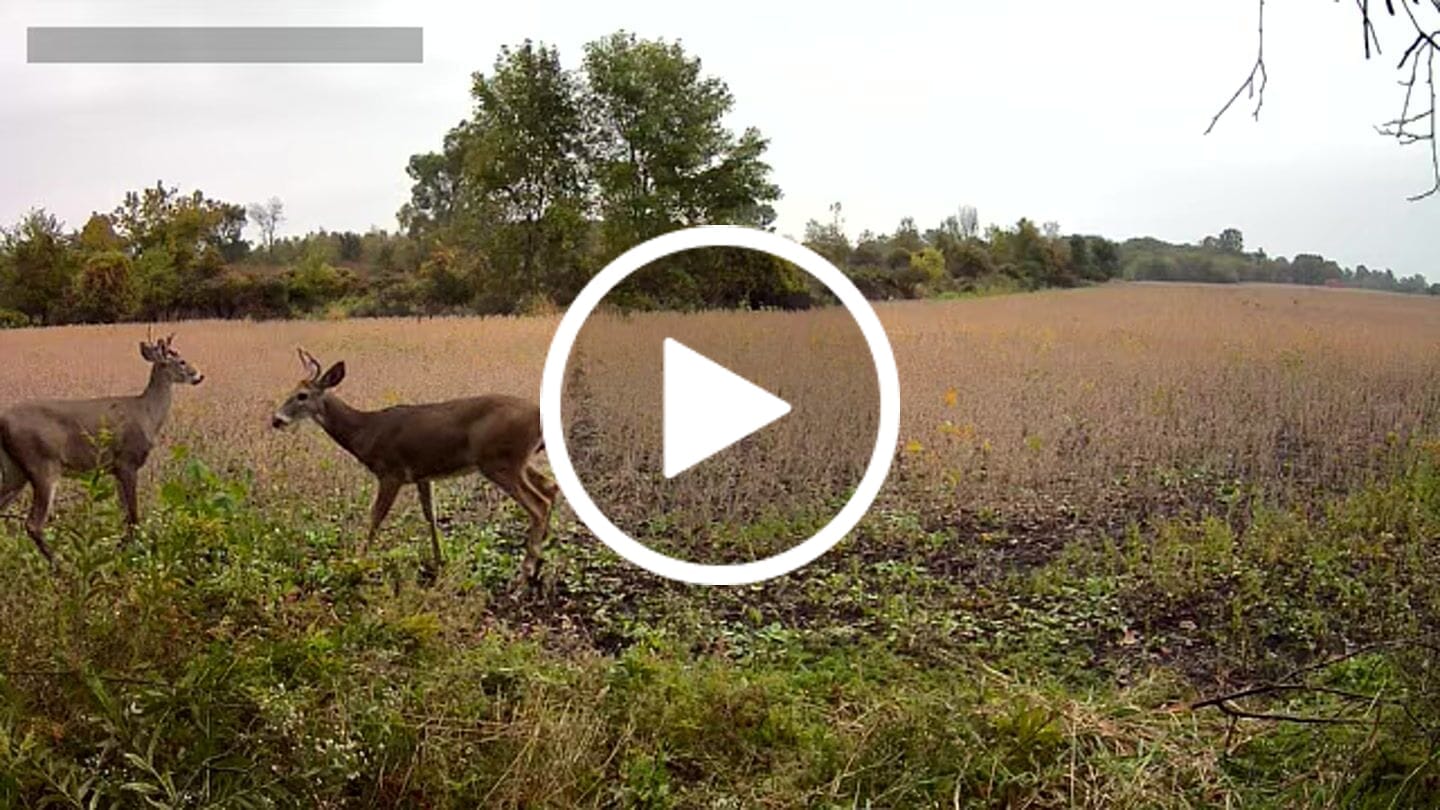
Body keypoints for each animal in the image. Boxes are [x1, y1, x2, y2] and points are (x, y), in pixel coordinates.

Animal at [0, 333, 204, 566]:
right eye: (181, 361)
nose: (200, 375)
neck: (147, 414)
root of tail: (2, 420)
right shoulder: (127, 461)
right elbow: (133, 516)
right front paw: (122, 553)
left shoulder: (115, 470)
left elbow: (124, 515)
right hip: (42, 464)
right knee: (33, 523)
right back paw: (60, 565)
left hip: (14, 469)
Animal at [270, 349, 558, 584]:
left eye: (302, 395)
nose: (276, 420)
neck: (366, 432)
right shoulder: (423, 474)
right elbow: (430, 515)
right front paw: (439, 561)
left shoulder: (391, 472)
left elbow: (376, 517)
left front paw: (357, 563)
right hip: (514, 460)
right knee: (550, 487)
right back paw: (540, 561)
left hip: (499, 461)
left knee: (539, 503)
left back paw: (526, 570)